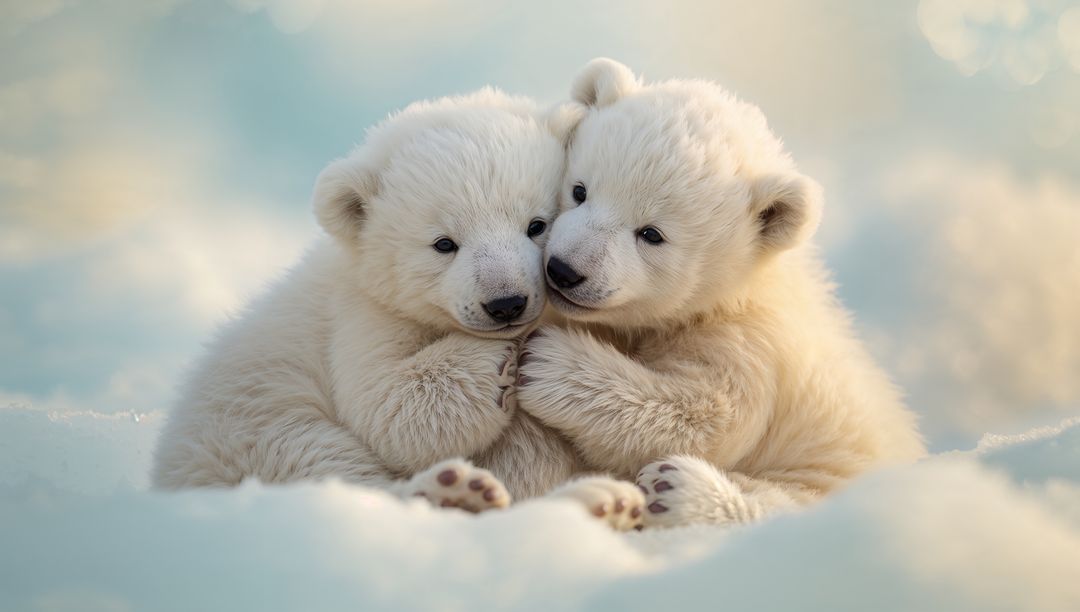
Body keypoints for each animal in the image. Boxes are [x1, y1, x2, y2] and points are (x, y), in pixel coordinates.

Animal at [152, 87, 645, 526]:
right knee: (326, 463)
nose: (505, 303)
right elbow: (385, 407)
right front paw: (496, 364)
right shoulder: (362, 316)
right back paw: (467, 493)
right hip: (253, 429)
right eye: (444, 243)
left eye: (536, 225)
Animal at [516, 59, 926, 528]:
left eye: (651, 234)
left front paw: (545, 362)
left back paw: (679, 490)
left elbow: (709, 416)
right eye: (580, 190)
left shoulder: (749, 343)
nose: (565, 270)